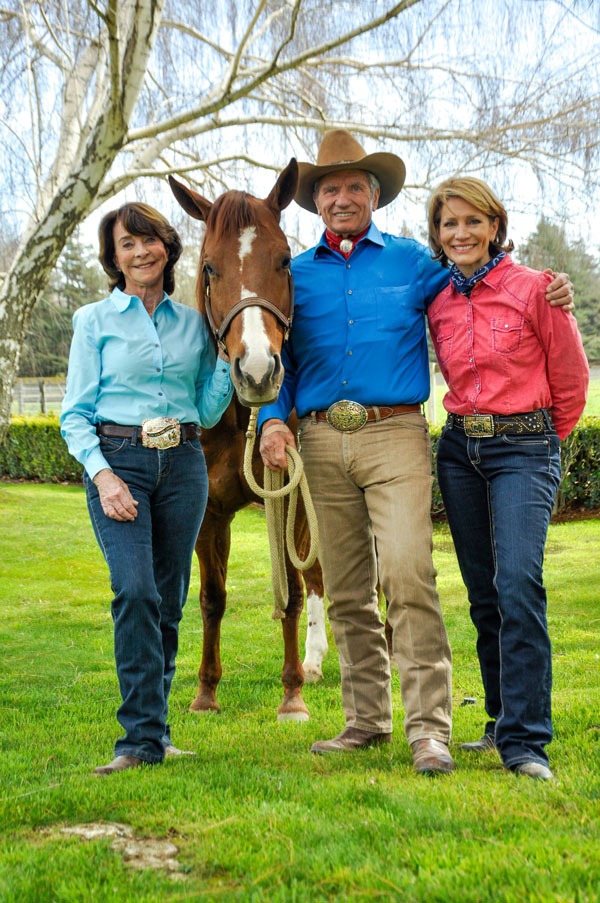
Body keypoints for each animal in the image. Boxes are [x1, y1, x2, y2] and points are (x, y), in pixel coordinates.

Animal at [168, 161, 328, 720]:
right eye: (209, 268)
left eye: (284, 260)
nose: (257, 371)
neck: (241, 417)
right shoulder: (208, 514)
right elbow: (213, 597)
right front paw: (205, 692)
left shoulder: (292, 502)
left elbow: (294, 592)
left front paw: (292, 694)